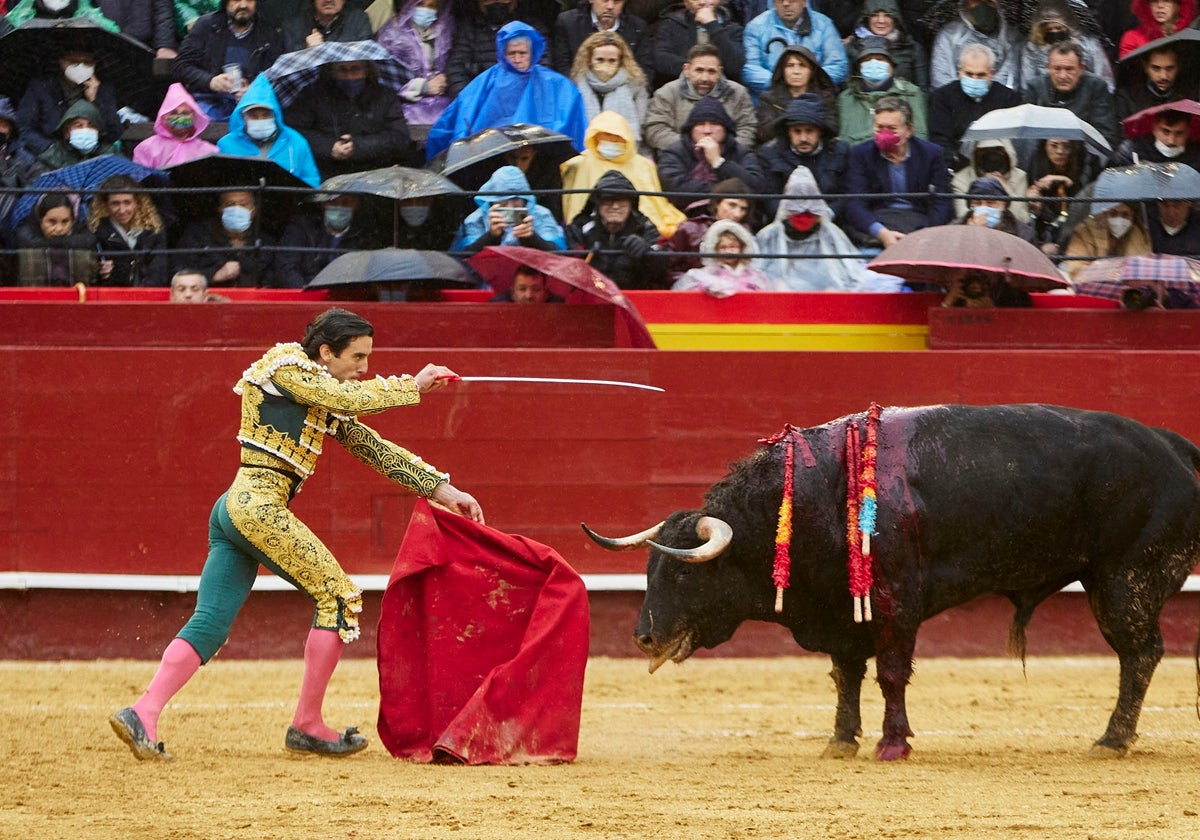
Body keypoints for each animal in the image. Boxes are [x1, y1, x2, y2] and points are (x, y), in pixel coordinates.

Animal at [585, 405, 1200, 763]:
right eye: (649, 571)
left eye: (684, 571)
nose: (643, 637)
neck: (812, 498)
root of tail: (1171, 446)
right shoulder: (842, 613)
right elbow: (845, 675)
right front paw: (840, 740)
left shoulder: (895, 604)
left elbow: (890, 674)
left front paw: (892, 742)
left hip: (1125, 581)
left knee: (1140, 655)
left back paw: (1112, 741)